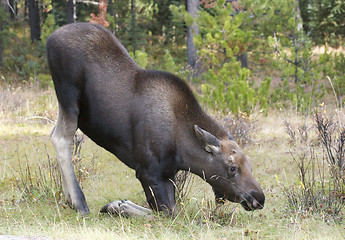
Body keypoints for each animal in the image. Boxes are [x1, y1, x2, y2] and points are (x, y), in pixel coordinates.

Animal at [45, 23, 264, 217]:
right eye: (232, 168)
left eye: (250, 165)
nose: (258, 198)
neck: (182, 149)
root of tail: (50, 38)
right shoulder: (148, 171)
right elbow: (168, 212)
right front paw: (118, 206)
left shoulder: (169, 174)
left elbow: (168, 209)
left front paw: (118, 204)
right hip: (68, 95)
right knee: (61, 137)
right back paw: (79, 202)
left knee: (54, 132)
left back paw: (69, 199)